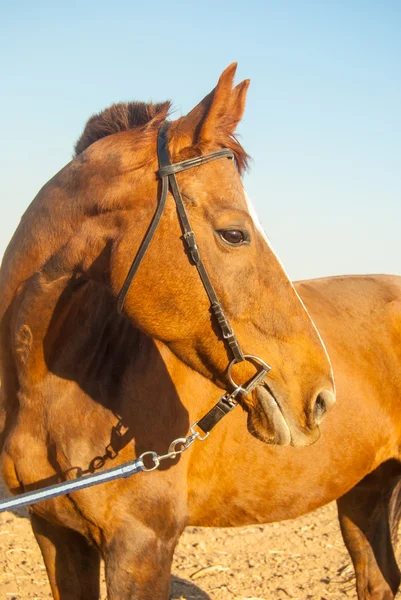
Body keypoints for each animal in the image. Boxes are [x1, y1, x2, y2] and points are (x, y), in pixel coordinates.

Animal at [0, 62, 396, 600]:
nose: (320, 399)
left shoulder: (141, 547)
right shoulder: (57, 536)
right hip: (364, 493)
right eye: (235, 233)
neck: (49, 397)